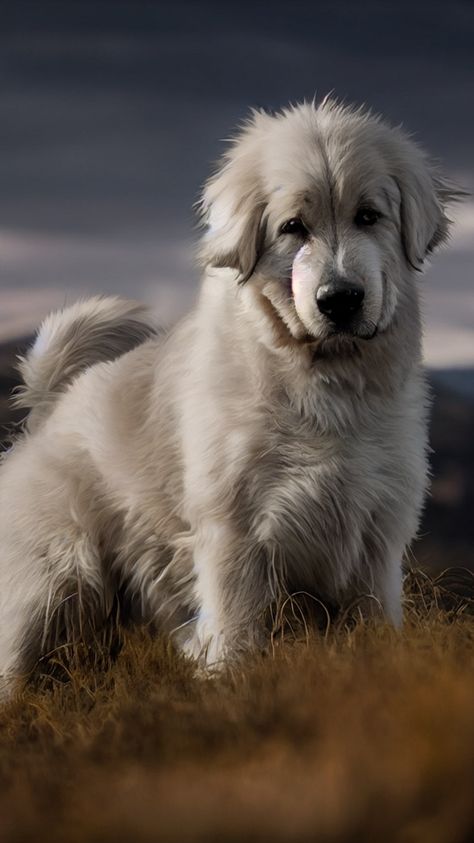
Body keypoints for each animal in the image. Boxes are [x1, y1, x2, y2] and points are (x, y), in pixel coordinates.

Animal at [0, 97, 462, 692]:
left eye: (368, 216)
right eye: (293, 227)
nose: (340, 299)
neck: (325, 389)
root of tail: (52, 409)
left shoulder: (375, 537)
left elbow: (375, 627)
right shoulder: (236, 532)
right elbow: (239, 633)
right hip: (54, 581)